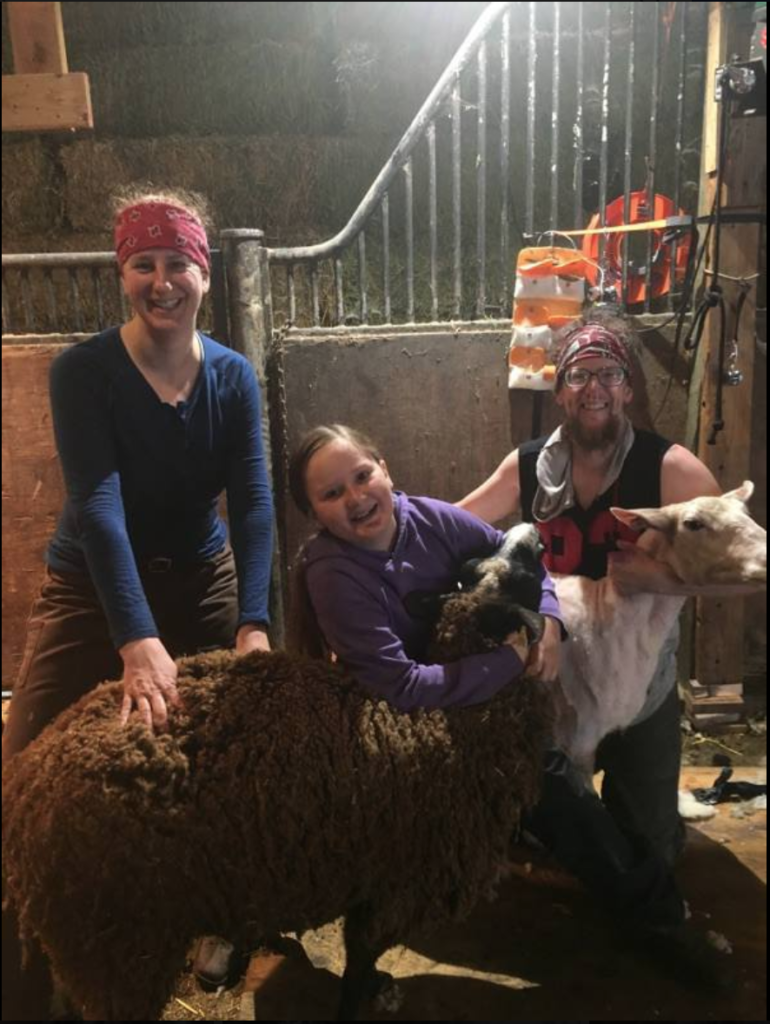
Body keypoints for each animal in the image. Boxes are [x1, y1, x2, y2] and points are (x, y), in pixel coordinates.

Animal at [1, 524, 552, 1019]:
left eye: (476, 568)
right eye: (522, 575)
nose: (534, 531)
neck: (448, 717)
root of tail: (29, 780)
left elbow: (362, 960)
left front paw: (377, 983)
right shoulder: (392, 889)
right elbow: (356, 967)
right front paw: (362, 999)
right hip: (118, 943)